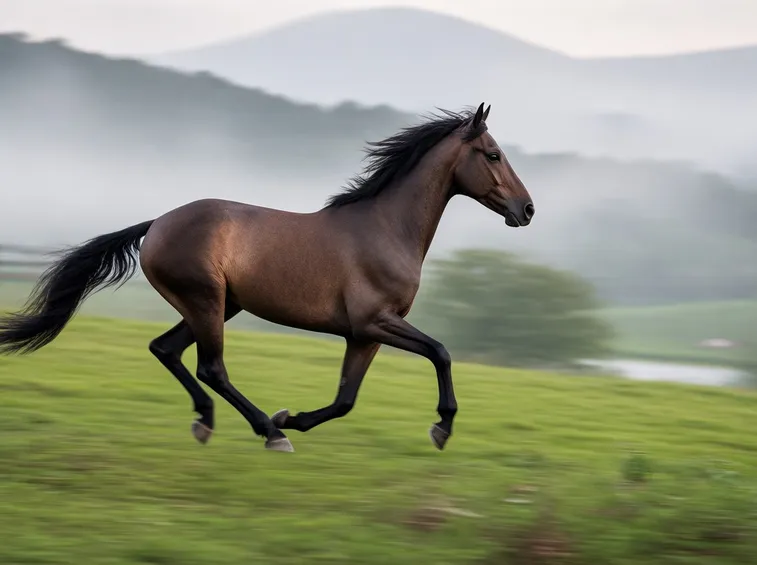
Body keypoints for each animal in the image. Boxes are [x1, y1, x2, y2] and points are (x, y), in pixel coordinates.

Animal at [0, 102, 534, 453]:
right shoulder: (375, 322)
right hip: (207, 301)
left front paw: (293, 417)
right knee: (210, 367)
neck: (387, 227)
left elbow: (345, 399)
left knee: (166, 349)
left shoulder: (363, 335)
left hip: (218, 304)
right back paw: (267, 432)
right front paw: (442, 428)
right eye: (492, 154)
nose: (526, 209)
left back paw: (209, 421)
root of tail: (157, 225)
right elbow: (440, 352)